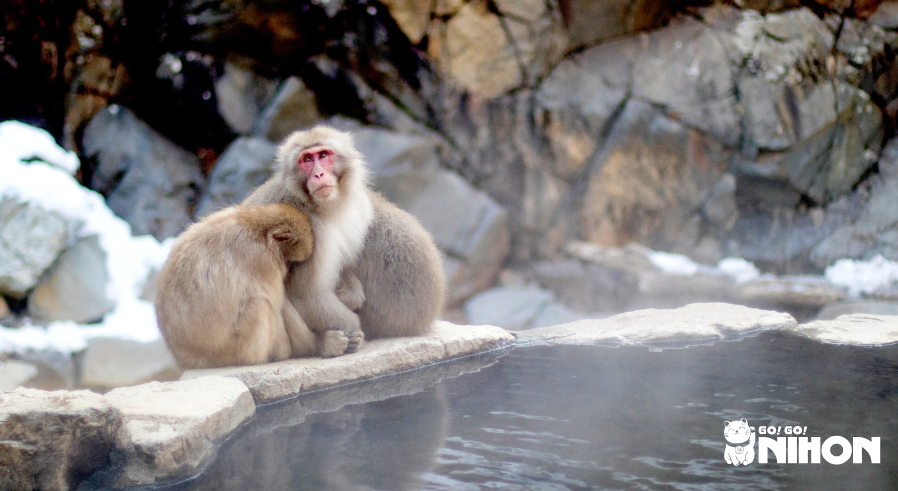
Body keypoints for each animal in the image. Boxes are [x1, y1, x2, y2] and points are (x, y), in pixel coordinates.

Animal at [155, 203, 347, 369]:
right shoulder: (263, 261)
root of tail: (184, 359)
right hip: (234, 351)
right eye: (289, 261)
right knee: (261, 305)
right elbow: (275, 305)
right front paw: (312, 347)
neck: (255, 227)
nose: (287, 269)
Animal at [243, 125, 446, 354]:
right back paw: (324, 345)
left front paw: (350, 293)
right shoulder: (314, 231)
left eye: (323, 155)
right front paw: (352, 329)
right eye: (307, 159)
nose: (319, 174)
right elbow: (308, 296)